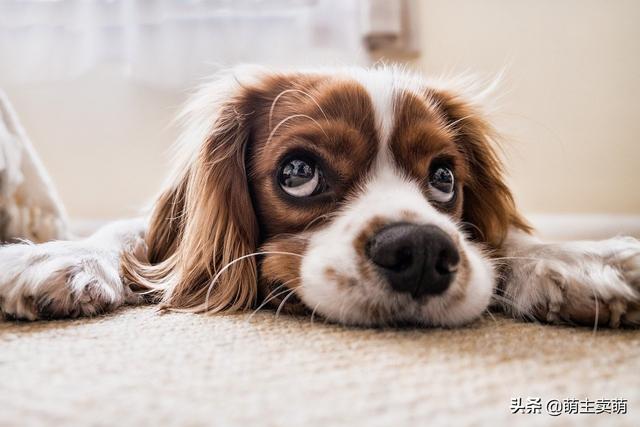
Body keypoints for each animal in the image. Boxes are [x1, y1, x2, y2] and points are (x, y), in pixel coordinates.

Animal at [1, 66, 640, 328]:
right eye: (298, 172)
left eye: (444, 178)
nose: (421, 251)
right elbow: (128, 236)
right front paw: (55, 257)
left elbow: (506, 241)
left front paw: (579, 260)